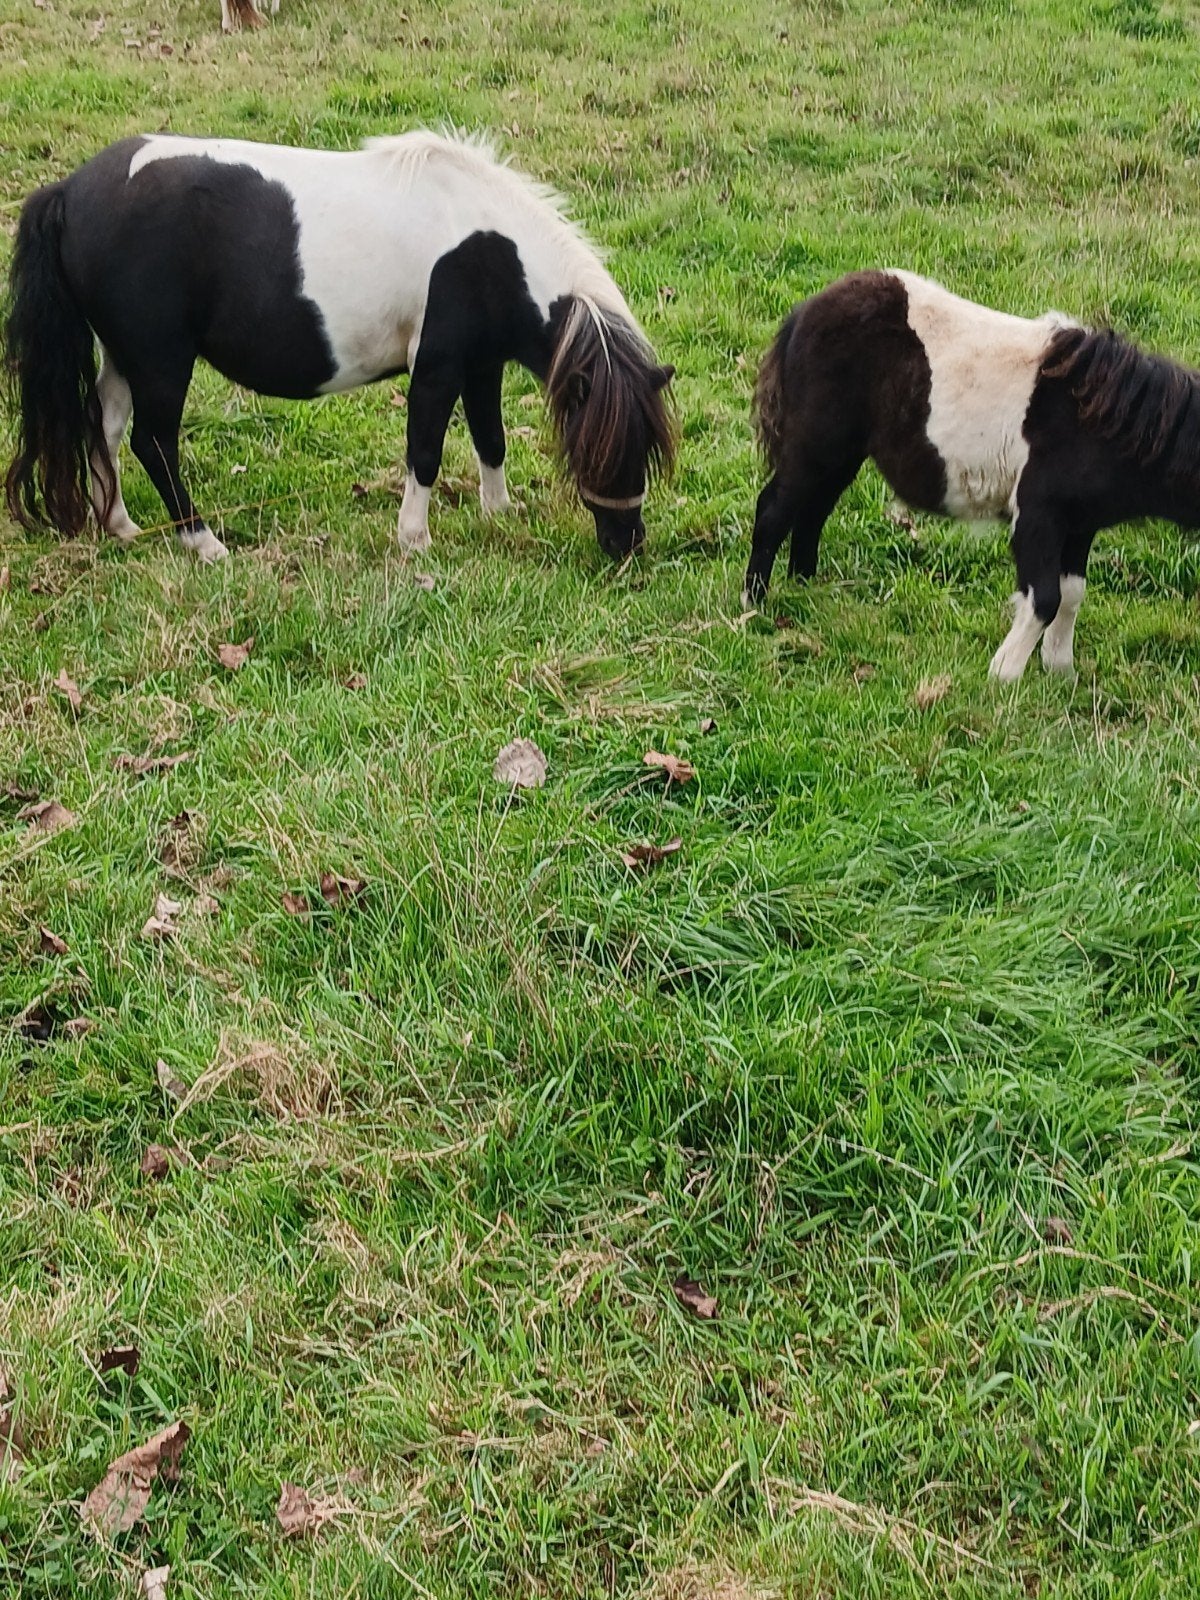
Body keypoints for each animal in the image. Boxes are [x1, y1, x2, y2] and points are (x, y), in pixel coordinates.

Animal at [4, 130, 676, 563]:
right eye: (607, 447)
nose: (627, 545)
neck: (488, 250)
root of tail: (69, 191)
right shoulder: (437, 367)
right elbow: (425, 452)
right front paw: (414, 541)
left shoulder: (481, 366)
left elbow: (491, 439)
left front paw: (499, 514)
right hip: (161, 359)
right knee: (152, 443)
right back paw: (203, 542)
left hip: (124, 355)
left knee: (106, 430)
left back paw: (120, 525)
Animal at [745, 269, 1200, 680]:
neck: (1099, 419)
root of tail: (804, 312)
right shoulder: (1038, 515)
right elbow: (1044, 598)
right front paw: (1004, 675)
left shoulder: (1080, 524)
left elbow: (1071, 595)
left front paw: (1061, 672)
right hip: (816, 445)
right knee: (773, 511)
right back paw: (754, 606)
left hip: (843, 455)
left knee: (812, 512)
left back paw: (806, 590)